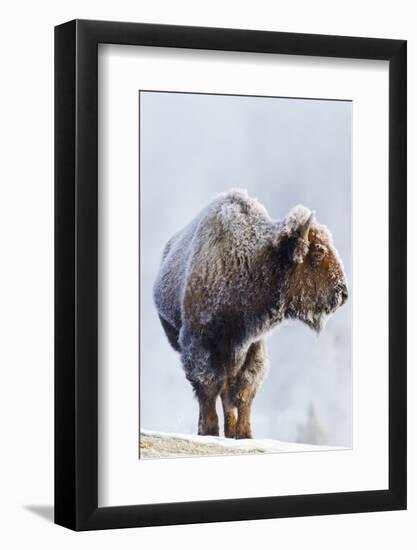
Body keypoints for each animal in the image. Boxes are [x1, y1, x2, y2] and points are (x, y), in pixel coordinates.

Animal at [154, 192, 348, 442]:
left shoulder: (252, 346)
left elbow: (244, 390)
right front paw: (209, 431)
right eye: (318, 251)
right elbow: (208, 387)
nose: (343, 293)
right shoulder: (200, 343)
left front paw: (245, 434)